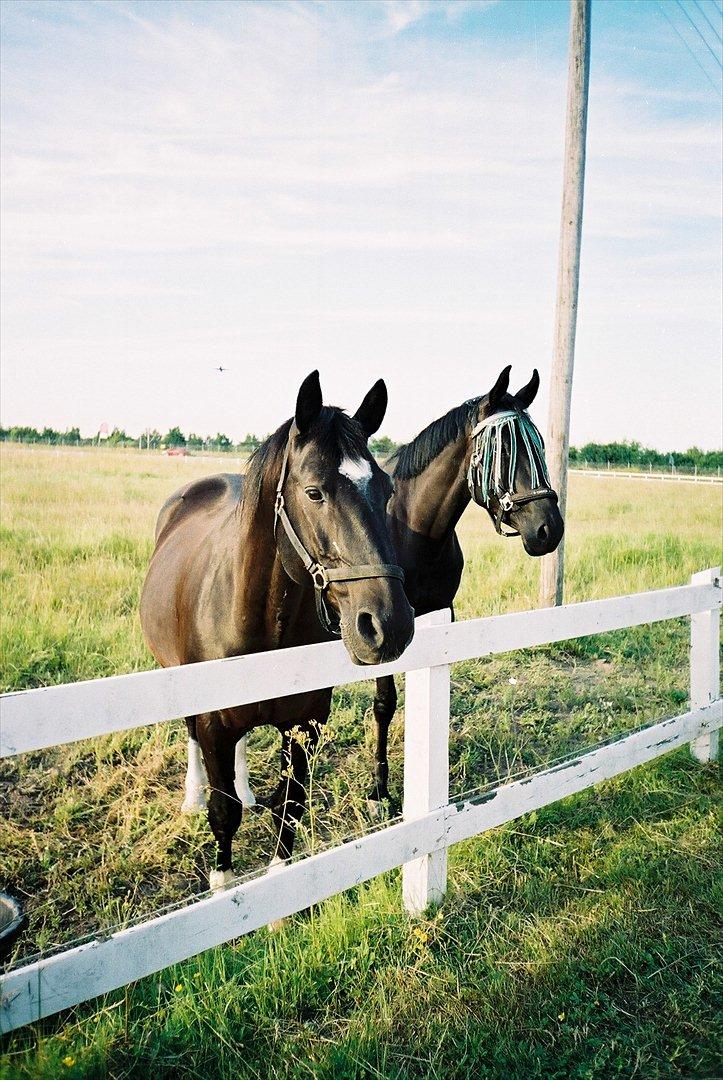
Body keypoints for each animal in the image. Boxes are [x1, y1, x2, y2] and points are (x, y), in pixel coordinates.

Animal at [140, 371, 410, 885]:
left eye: (386, 490)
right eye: (314, 492)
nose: (388, 625)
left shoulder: (304, 726)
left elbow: (291, 807)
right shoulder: (213, 725)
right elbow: (223, 814)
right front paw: (223, 882)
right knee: (191, 738)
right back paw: (192, 796)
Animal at [367, 367, 561, 812]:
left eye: (540, 446)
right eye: (503, 451)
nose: (550, 530)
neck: (413, 531)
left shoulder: (443, 613)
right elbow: (385, 703)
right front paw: (381, 787)